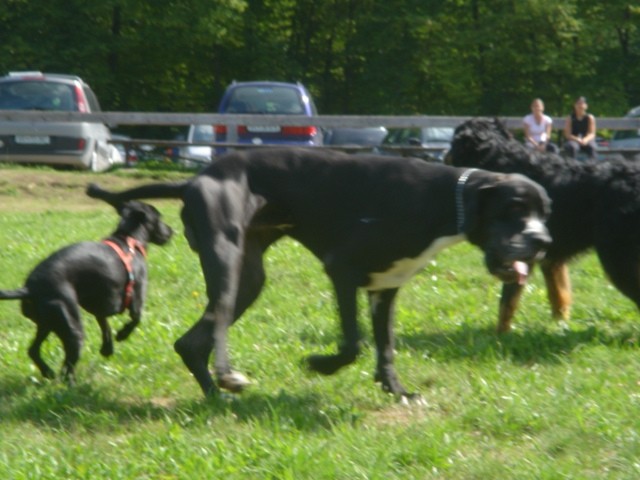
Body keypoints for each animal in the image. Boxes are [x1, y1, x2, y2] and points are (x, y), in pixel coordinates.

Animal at [0, 199, 172, 382]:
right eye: (159, 218)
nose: (171, 231)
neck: (129, 240)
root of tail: (29, 289)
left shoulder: (100, 306)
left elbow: (105, 327)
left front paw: (107, 349)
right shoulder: (136, 297)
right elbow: (135, 319)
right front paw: (122, 335)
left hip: (47, 324)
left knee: (33, 351)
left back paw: (48, 372)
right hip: (72, 329)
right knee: (66, 369)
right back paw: (70, 384)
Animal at [87, 147, 552, 402]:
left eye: (545, 212)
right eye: (514, 209)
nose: (543, 240)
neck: (447, 199)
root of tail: (194, 179)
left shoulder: (386, 289)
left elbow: (385, 347)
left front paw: (396, 391)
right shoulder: (343, 269)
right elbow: (353, 343)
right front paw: (319, 365)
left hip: (249, 280)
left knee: (190, 342)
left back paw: (216, 396)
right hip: (226, 260)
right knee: (215, 326)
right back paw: (227, 376)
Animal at [448, 117, 640, 334]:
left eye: (453, 143)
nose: (445, 155)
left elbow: (507, 302)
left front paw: (499, 334)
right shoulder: (550, 257)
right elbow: (558, 296)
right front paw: (560, 325)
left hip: (618, 258)